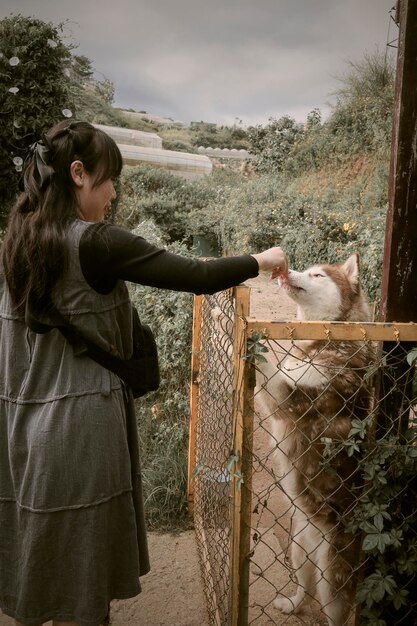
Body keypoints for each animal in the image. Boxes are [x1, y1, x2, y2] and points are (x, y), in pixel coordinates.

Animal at [256, 255, 374, 624]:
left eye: (318, 275)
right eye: (305, 270)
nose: (287, 272)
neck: (328, 339)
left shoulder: (288, 397)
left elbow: (265, 363)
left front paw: (226, 318)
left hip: (331, 580)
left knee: (334, 611)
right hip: (299, 547)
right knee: (303, 588)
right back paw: (291, 604)